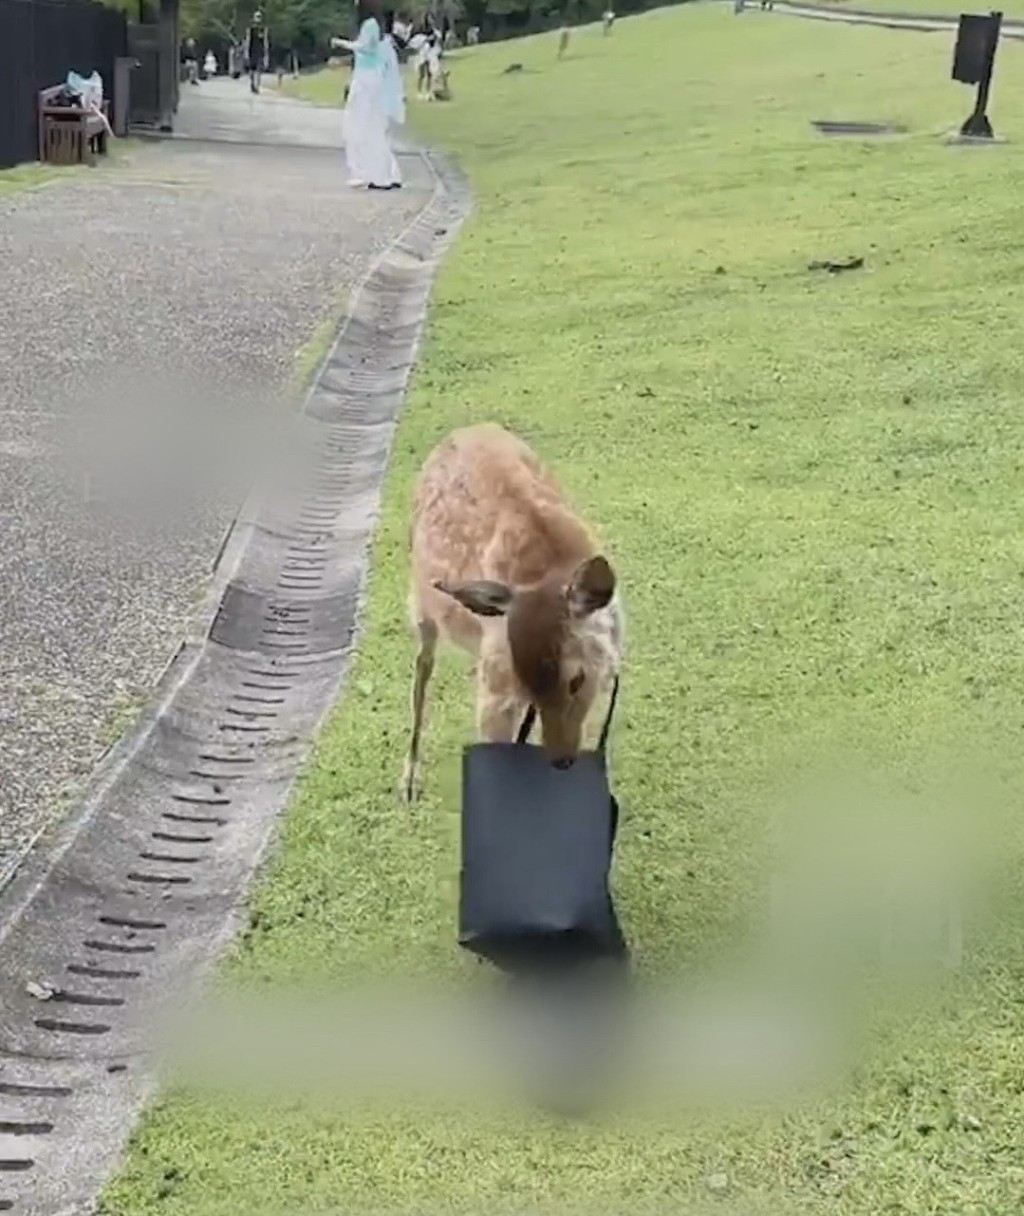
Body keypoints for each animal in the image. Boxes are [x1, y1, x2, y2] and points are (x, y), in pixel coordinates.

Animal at [402, 423, 624, 802]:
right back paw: (409, 780)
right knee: (423, 664)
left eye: (576, 679)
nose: (562, 759)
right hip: (421, 599)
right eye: (528, 681)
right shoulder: (497, 685)